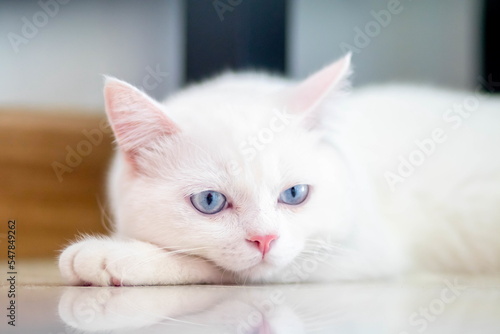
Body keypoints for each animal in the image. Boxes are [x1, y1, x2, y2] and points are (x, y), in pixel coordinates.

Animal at [58, 54, 500, 284]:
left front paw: (117, 254)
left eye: (294, 194)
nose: (265, 239)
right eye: (209, 201)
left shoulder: (362, 250)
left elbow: (216, 266)